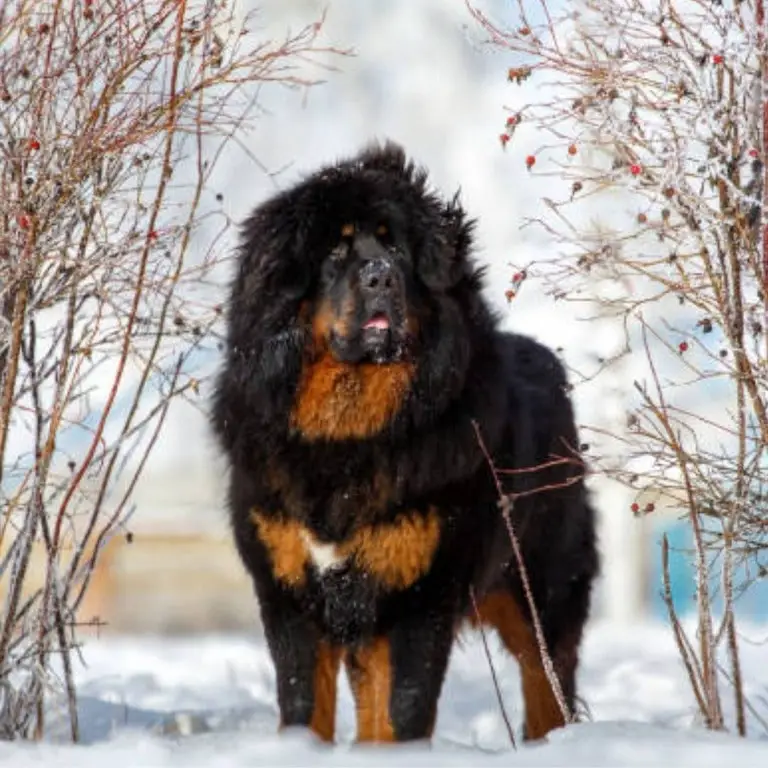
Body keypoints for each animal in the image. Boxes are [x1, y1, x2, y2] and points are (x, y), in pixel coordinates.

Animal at [210, 142, 600, 744]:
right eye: (336, 250)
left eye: (394, 245)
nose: (381, 277)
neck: (346, 435)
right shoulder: (290, 591)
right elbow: (305, 706)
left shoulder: (418, 594)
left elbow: (403, 709)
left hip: (541, 593)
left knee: (547, 689)